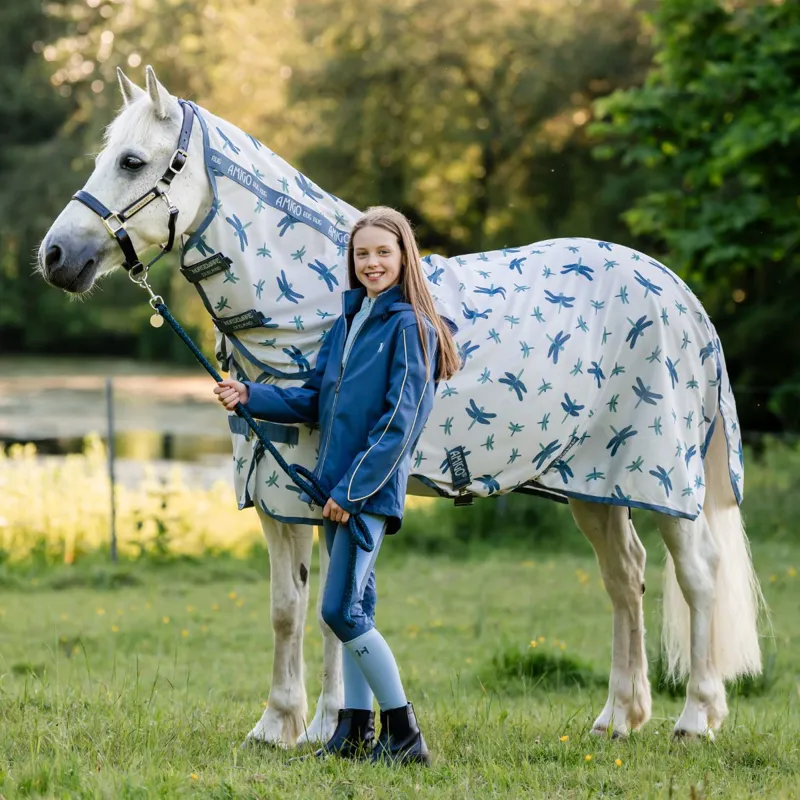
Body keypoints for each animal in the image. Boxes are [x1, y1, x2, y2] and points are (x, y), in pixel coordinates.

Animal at [38, 66, 764, 744]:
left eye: (133, 161)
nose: (54, 256)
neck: (318, 307)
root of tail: (677, 292)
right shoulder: (278, 492)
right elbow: (287, 607)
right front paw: (277, 726)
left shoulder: (325, 491)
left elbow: (330, 617)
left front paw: (327, 725)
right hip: (596, 486)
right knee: (624, 577)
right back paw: (619, 716)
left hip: (662, 479)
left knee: (697, 576)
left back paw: (696, 717)